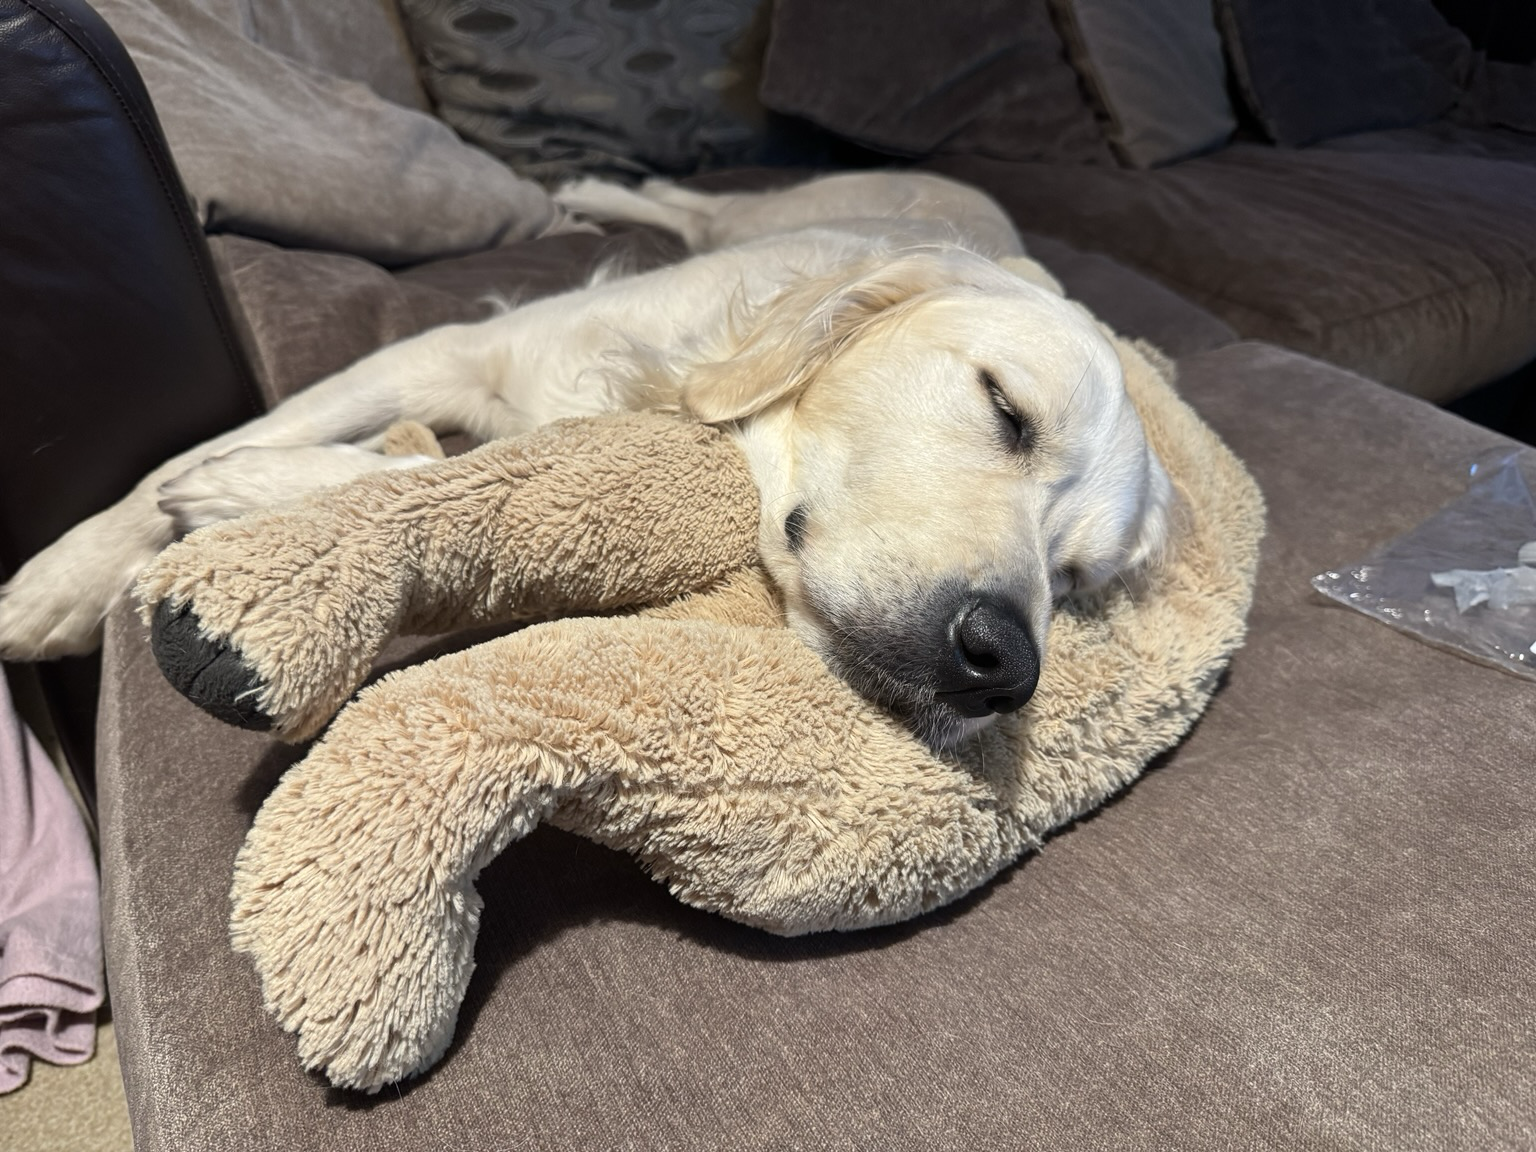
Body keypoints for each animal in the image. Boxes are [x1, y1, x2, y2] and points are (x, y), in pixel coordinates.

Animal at [0, 172, 1171, 749]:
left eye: (1076, 580)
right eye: (1005, 408)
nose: (1003, 668)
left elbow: (438, 480)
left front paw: (252, 492)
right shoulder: (450, 351)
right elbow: (217, 441)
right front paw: (59, 580)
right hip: (751, 208)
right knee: (679, 194)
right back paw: (587, 184)